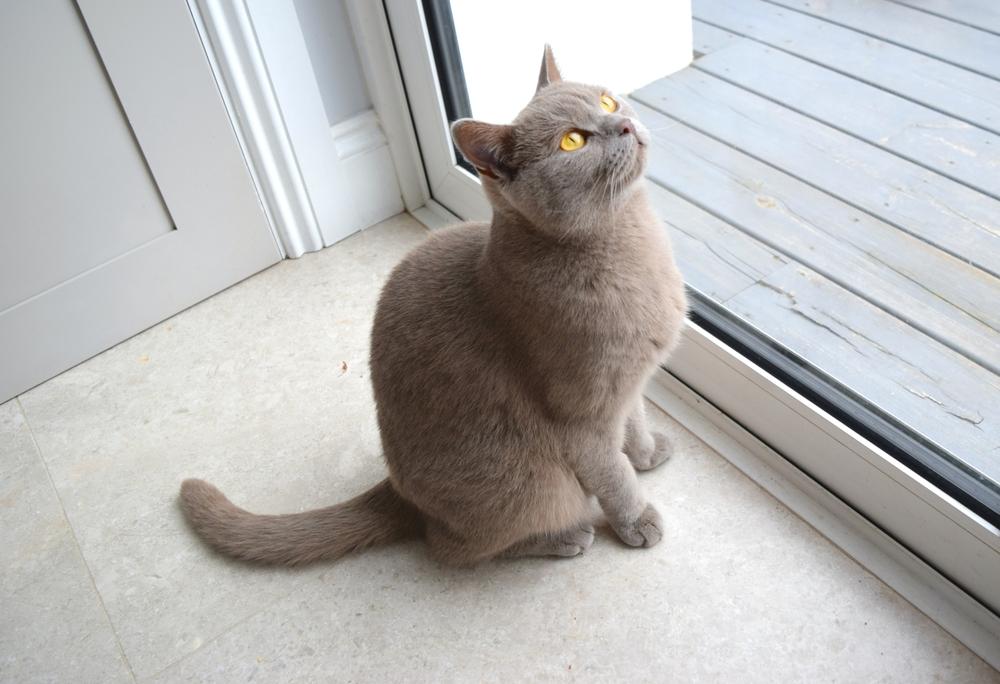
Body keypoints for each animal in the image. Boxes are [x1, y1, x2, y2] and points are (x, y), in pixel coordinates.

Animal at [182, 46, 688, 568]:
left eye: (606, 102)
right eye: (573, 141)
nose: (623, 123)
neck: (631, 244)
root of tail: (399, 491)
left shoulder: (628, 385)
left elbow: (636, 423)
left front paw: (647, 453)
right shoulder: (581, 419)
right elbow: (613, 476)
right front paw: (638, 519)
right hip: (527, 480)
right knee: (454, 546)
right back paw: (563, 537)